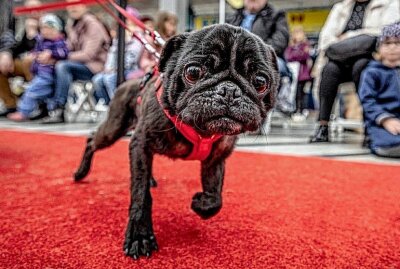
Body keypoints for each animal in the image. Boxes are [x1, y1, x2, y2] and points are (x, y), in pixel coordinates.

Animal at [74, 24, 278, 258]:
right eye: (193, 72)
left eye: (261, 82)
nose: (229, 90)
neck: (201, 131)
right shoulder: (141, 142)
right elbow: (140, 194)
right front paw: (140, 235)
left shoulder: (216, 160)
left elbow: (215, 196)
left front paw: (201, 204)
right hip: (113, 129)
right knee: (93, 140)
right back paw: (81, 172)